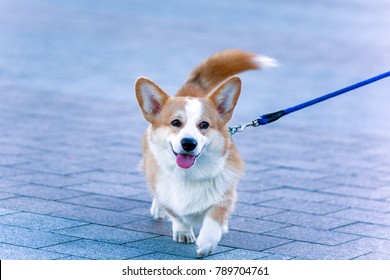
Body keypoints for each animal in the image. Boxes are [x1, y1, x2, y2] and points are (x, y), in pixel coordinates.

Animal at [136, 49, 276, 256]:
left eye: (204, 125)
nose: (188, 143)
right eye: (175, 122)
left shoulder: (225, 195)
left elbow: (215, 218)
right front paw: (183, 231)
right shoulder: (168, 194)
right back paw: (158, 207)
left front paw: (207, 242)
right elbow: (176, 214)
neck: (189, 175)